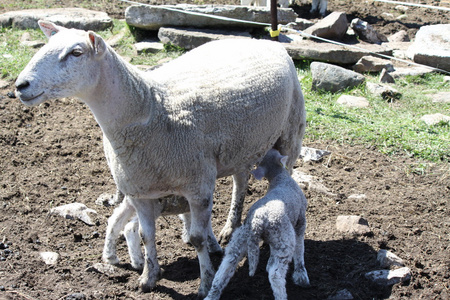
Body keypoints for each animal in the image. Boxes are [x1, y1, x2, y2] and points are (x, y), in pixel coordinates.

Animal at [205, 148, 308, 300]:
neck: (280, 178)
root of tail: (257, 222)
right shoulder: (301, 220)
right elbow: (300, 246)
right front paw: (300, 271)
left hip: (241, 237)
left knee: (227, 265)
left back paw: (212, 294)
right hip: (283, 240)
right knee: (275, 274)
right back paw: (281, 295)